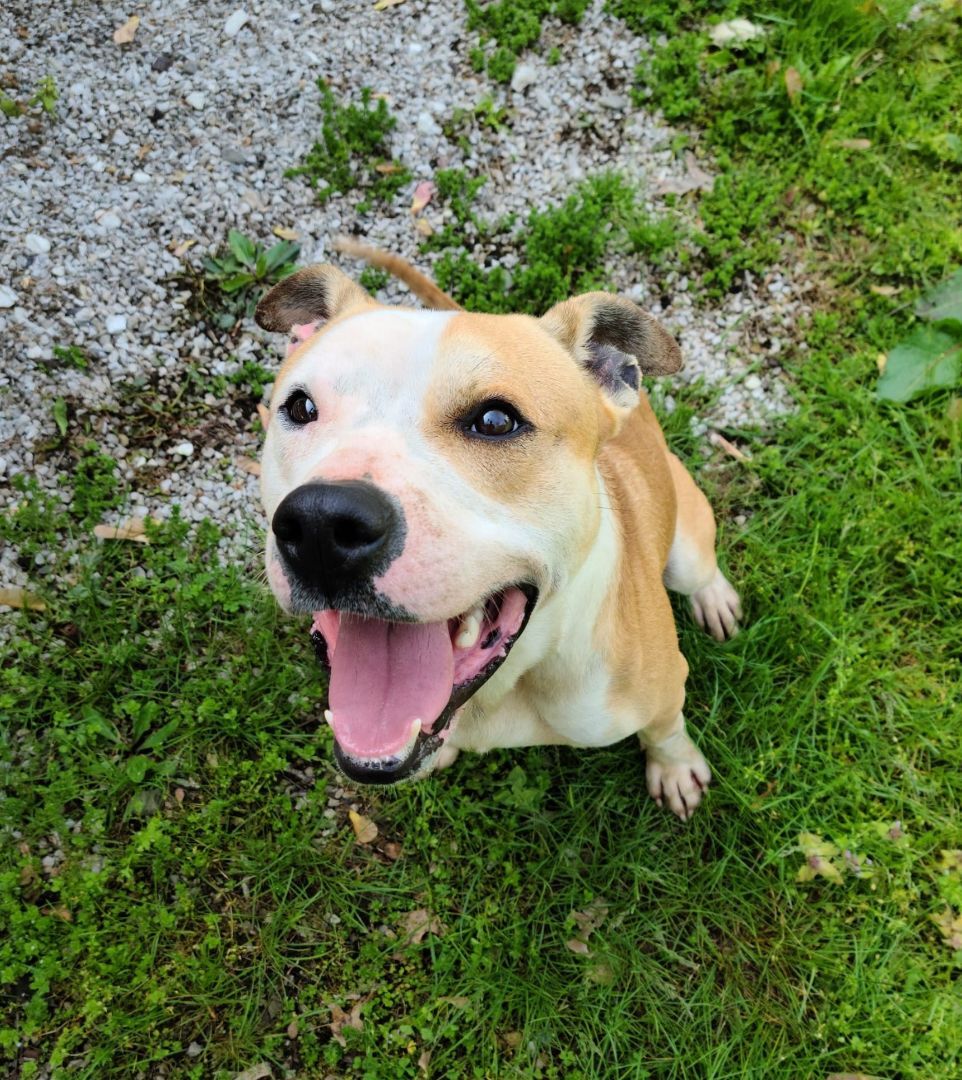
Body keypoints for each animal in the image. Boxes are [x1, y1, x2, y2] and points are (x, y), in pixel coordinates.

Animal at [251, 243, 742, 816]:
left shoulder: (662, 692)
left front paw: (676, 768)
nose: (321, 524)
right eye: (300, 407)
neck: (510, 683)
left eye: (495, 421)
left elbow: (665, 729)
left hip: (686, 544)